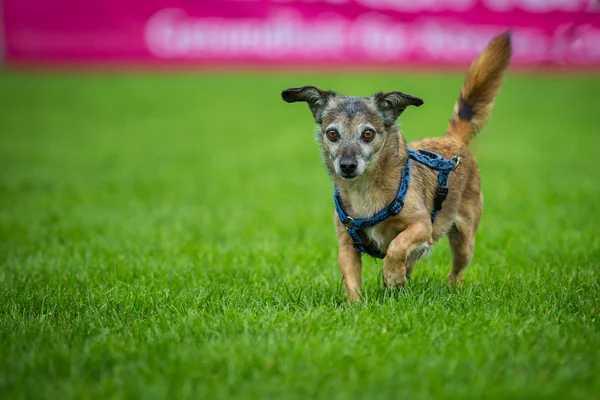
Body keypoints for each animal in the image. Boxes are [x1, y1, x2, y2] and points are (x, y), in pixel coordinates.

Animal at [282, 32, 510, 300]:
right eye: (332, 134)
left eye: (368, 134)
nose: (347, 165)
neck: (365, 191)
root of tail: (453, 140)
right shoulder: (346, 244)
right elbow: (351, 280)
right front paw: (356, 304)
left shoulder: (422, 226)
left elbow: (396, 247)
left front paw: (391, 276)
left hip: (465, 242)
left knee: (455, 271)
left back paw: (448, 287)